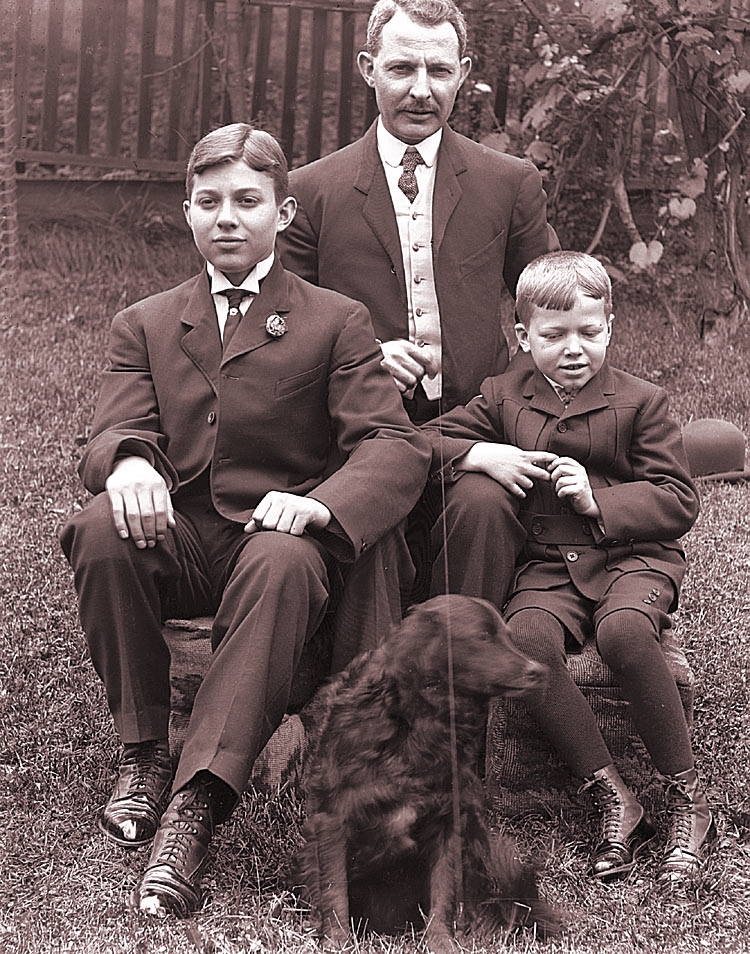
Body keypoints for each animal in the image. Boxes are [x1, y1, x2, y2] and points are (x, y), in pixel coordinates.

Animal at [296, 592, 560, 948]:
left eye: (507, 636)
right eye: (482, 637)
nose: (540, 671)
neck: (416, 725)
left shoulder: (450, 822)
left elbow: (444, 892)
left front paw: (441, 941)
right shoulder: (334, 817)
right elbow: (334, 889)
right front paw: (337, 941)